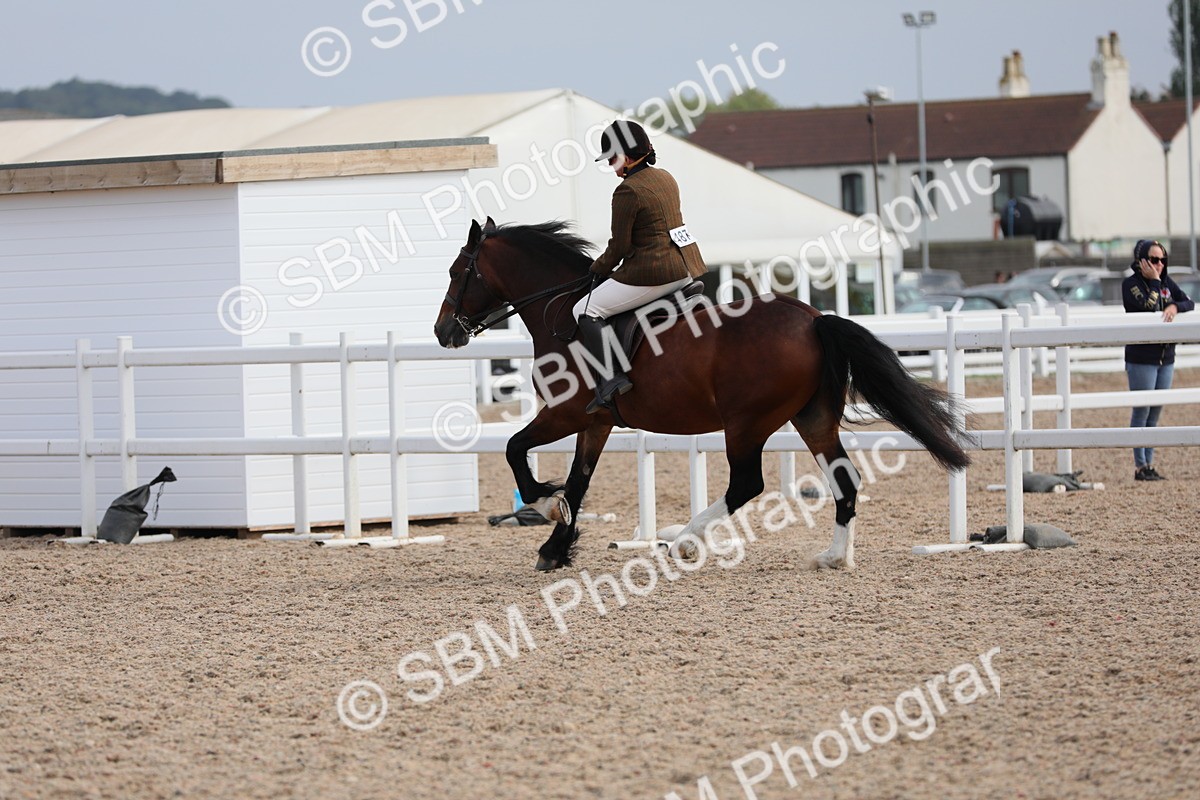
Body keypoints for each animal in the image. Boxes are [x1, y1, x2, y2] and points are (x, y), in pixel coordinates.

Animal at [434, 218, 969, 572]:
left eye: (458, 272)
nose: (443, 333)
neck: (561, 311)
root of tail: (814, 319)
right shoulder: (596, 421)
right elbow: (579, 482)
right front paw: (556, 546)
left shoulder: (565, 413)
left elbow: (515, 449)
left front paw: (546, 508)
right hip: (812, 419)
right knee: (844, 478)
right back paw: (835, 557)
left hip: (747, 424)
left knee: (747, 485)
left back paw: (685, 541)